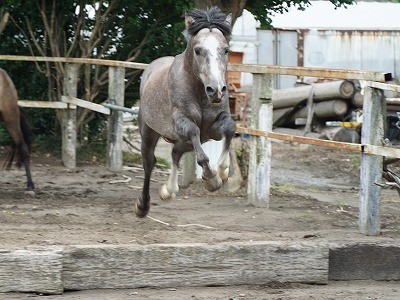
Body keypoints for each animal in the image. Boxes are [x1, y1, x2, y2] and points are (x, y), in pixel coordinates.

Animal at [137, 6, 238, 216]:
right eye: (198, 50)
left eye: (226, 49)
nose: (216, 90)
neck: (199, 92)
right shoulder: (183, 124)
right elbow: (197, 141)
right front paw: (212, 180)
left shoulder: (212, 130)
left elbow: (230, 128)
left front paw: (222, 172)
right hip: (148, 131)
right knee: (149, 162)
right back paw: (143, 206)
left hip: (186, 141)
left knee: (176, 152)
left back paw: (168, 191)